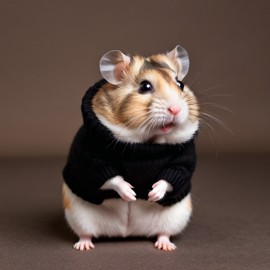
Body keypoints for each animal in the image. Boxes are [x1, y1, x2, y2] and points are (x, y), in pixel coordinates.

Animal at [62, 46, 199, 251]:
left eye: (180, 84)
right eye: (145, 87)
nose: (175, 110)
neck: (147, 141)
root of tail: (126, 231)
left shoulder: (183, 158)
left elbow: (173, 175)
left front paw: (152, 194)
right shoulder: (90, 156)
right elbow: (110, 176)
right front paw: (131, 194)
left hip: (175, 217)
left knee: (164, 232)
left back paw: (166, 246)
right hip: (79, 215)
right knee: (85, 233)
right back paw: (83, 246)